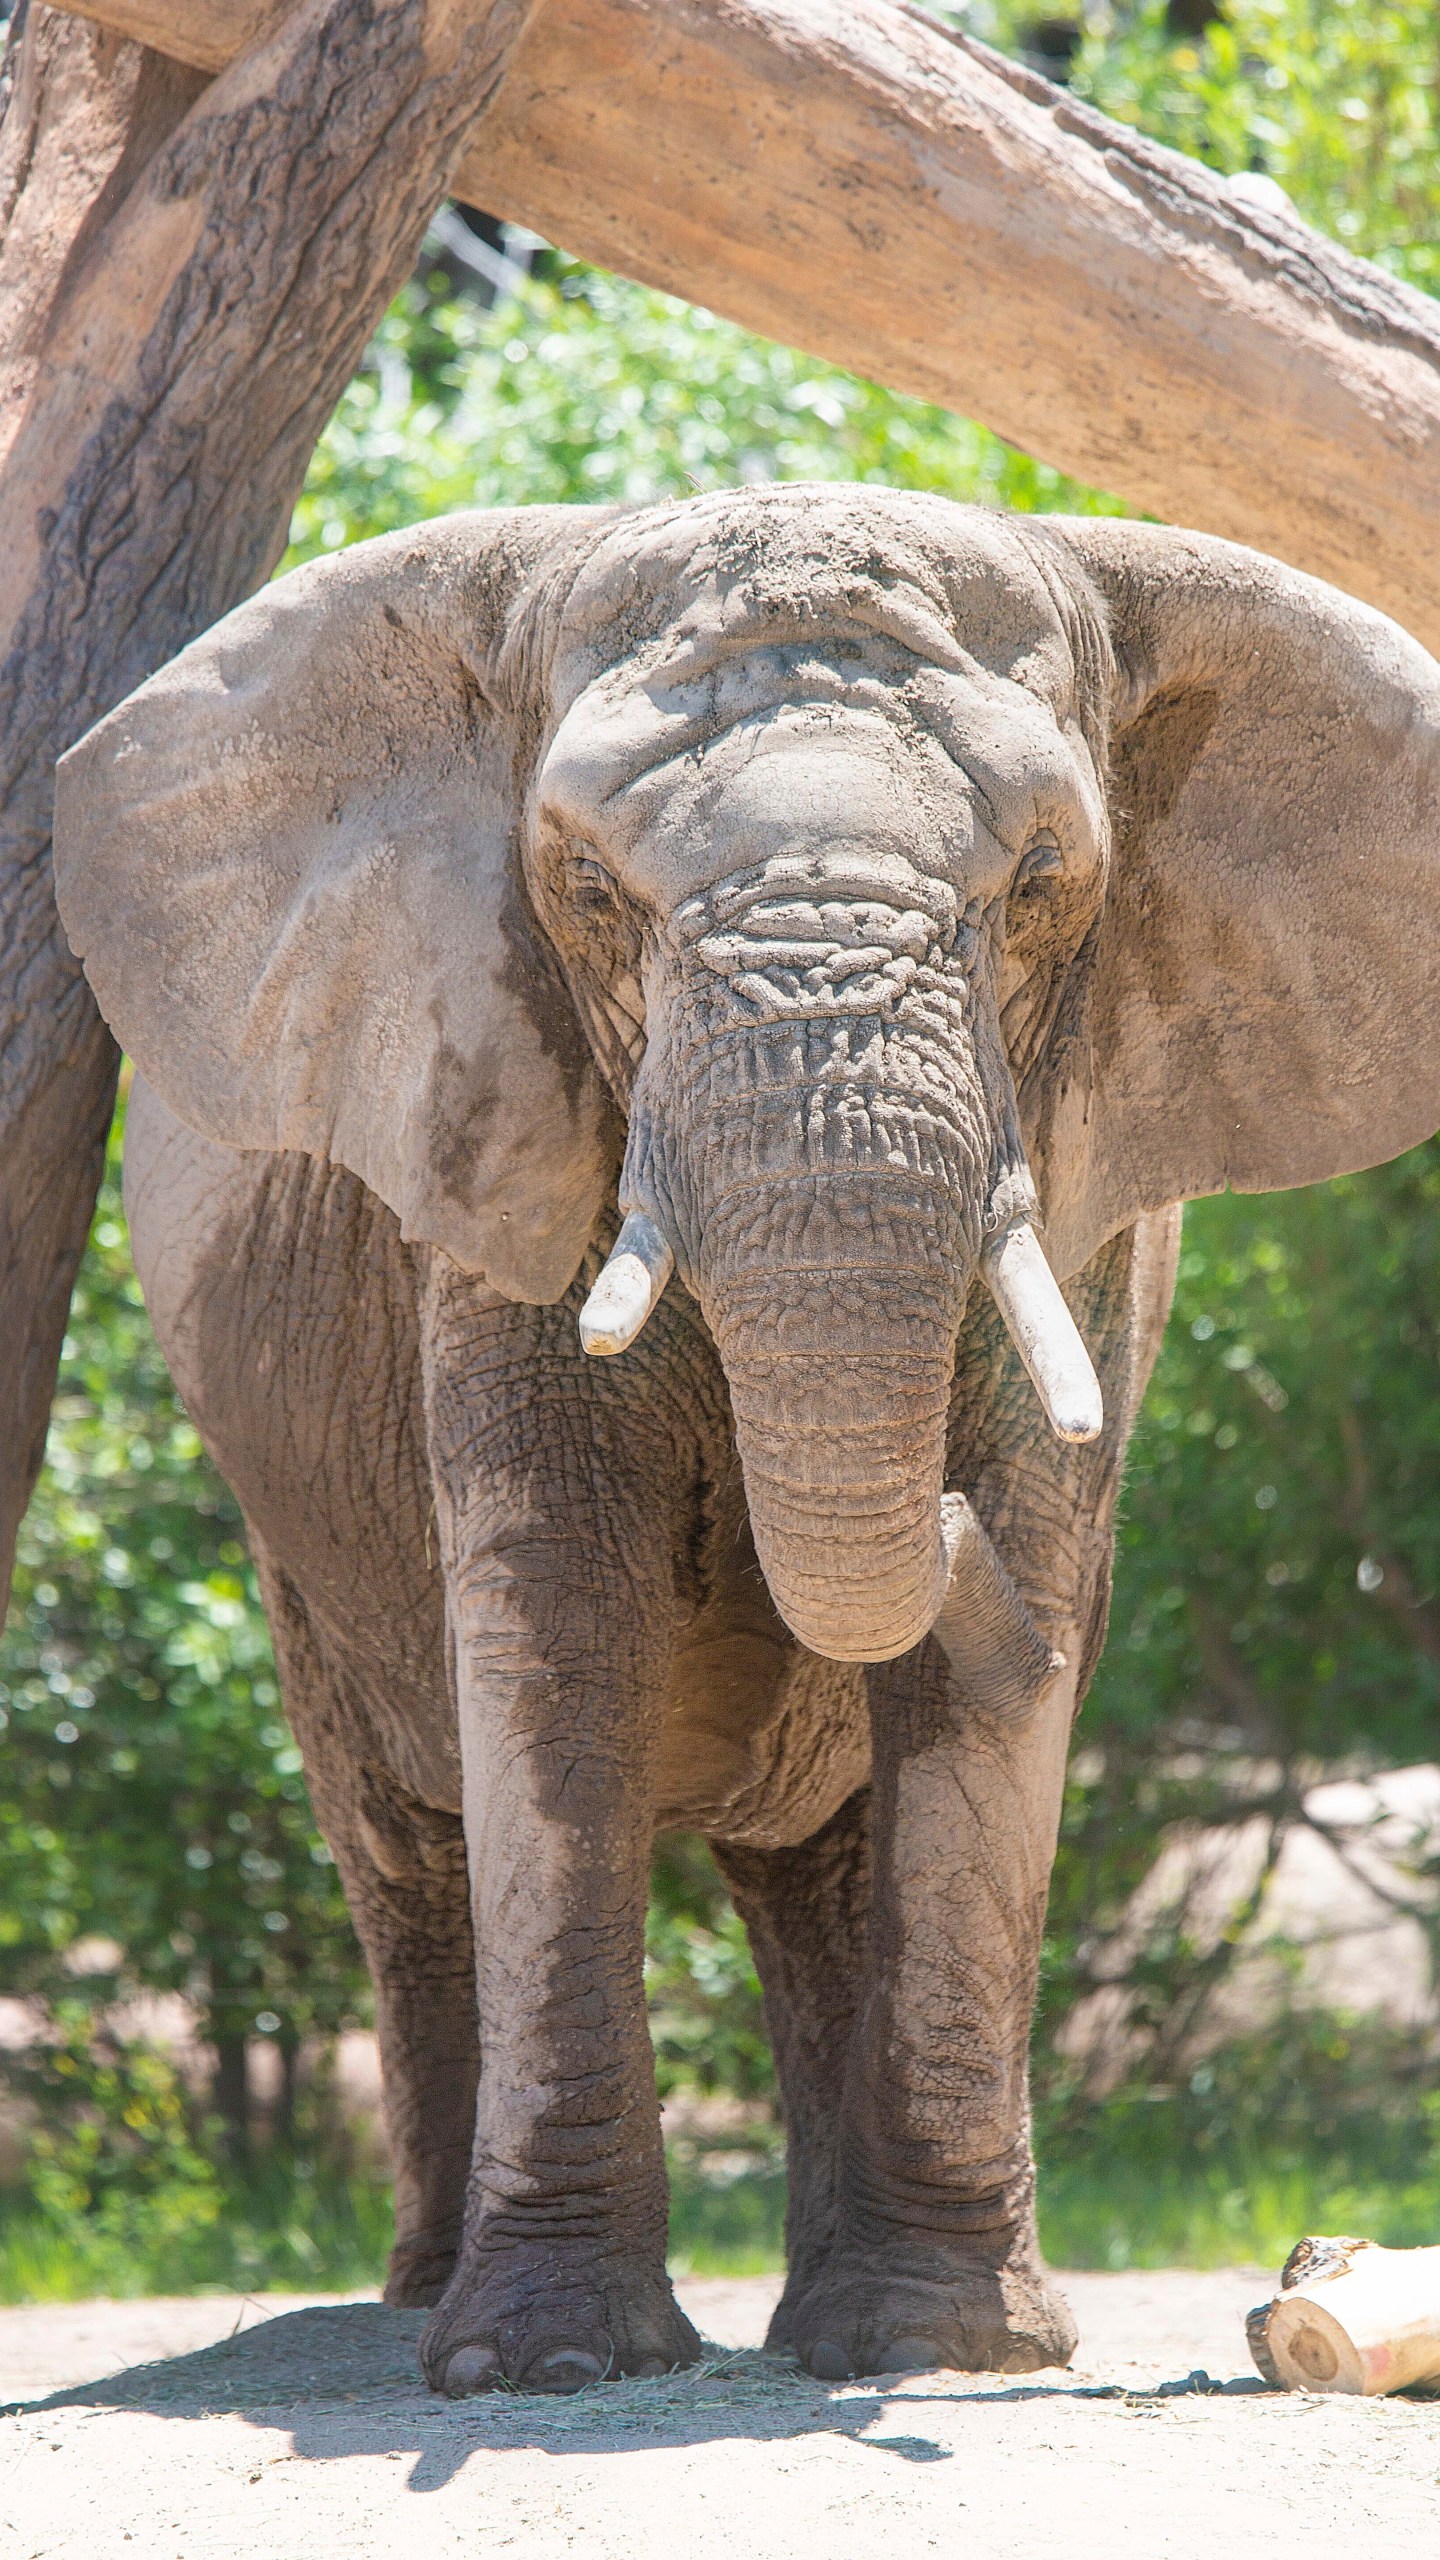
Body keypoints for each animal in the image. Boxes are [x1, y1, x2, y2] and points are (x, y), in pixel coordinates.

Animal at [50, 483, 1434, 2396]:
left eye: (1042, 883)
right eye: (583, 887)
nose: (934, 1512)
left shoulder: (1094, 1183)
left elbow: (1003, 1623)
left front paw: (944, 2350)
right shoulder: (499, 1133)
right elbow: (557, 1625)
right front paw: (543, 2367)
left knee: (825, 1866)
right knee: (405, 1847)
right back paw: (421, 2294)